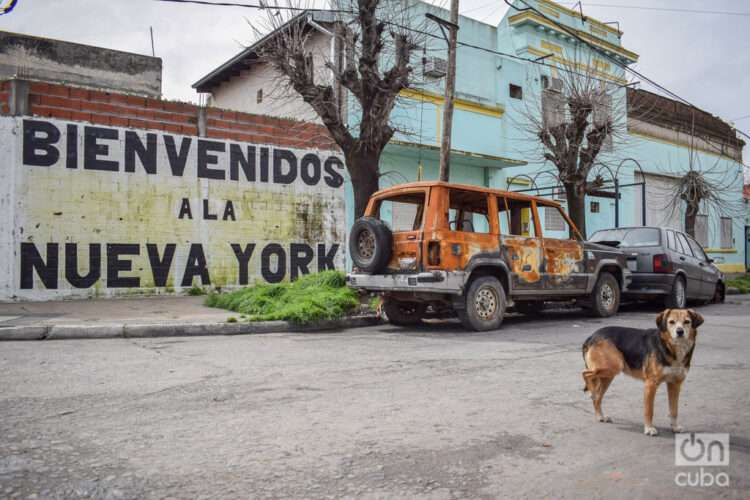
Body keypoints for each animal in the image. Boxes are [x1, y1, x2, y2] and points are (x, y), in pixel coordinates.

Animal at [580, 308, 704, 438]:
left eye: (687, 322)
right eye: (671, 322)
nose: (679, 332)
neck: (670, 347)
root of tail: (591, 336)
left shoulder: (675, 384)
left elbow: (674, 410)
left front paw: (675, 427)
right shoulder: (651, 384)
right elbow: (649, 410)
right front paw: (649, 428)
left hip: (608, 376)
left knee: (597, 399)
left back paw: (601, 416)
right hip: (613, 366)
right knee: (585, 374)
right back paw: (593, 393)